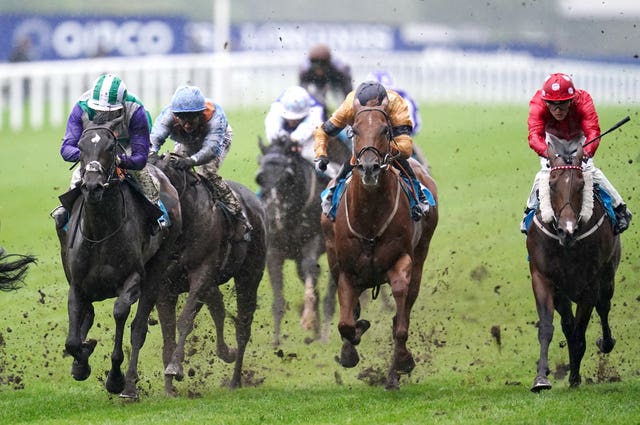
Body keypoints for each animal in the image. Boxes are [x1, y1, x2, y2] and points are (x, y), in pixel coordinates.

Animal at [56, 117, 181, 400]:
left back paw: (130, 387)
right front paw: (81, 361)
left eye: (111, 147)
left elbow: (121, 313)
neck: (101, 232)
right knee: (88, 314)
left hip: (157, 268)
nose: (92, 186)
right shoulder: (76, 285)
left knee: (138, 329)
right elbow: (73, 338)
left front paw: (115, 378)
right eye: (80, 146)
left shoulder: (132, 279)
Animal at [154, 152, 266, 390]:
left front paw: (175, 367)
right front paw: (169, 387)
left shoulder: (202, 273)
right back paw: (226, 353)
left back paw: (235, 380)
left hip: (250, 275)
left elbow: (185, 319)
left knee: (243, 325)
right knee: (219, 308)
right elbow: (168, 329)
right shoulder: (164, 285)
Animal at [254, 137, 338, 344]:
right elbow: (278, 297)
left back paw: (324, 335)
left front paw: (307, 319)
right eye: (260, 178)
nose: (273, 217)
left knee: (330, 295)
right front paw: (275, 340)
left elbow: (311, 269)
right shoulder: (274, 250)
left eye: (287, 177)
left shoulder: (313, 240)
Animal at [320, 96, 440, 388]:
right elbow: (346, 323)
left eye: (386, 130)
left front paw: (400, 365)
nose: (369, 167)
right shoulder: (346, 269)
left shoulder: (402, 261)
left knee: (406, 303)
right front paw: (350, 348)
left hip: (421, 254)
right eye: (354, 130)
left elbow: (400, 320)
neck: (370, 219)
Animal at [524, 135, 620, 390]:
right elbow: (548, 327)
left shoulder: (590, 285)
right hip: (563, 293)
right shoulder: (543, 278)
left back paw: (605, 343)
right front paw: (541, 378)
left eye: (580, 184)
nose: (567, 230)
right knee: (567, 324)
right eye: (552, 183)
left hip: (607, 277)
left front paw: (575, 377)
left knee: (603, 307)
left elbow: (580, 332)